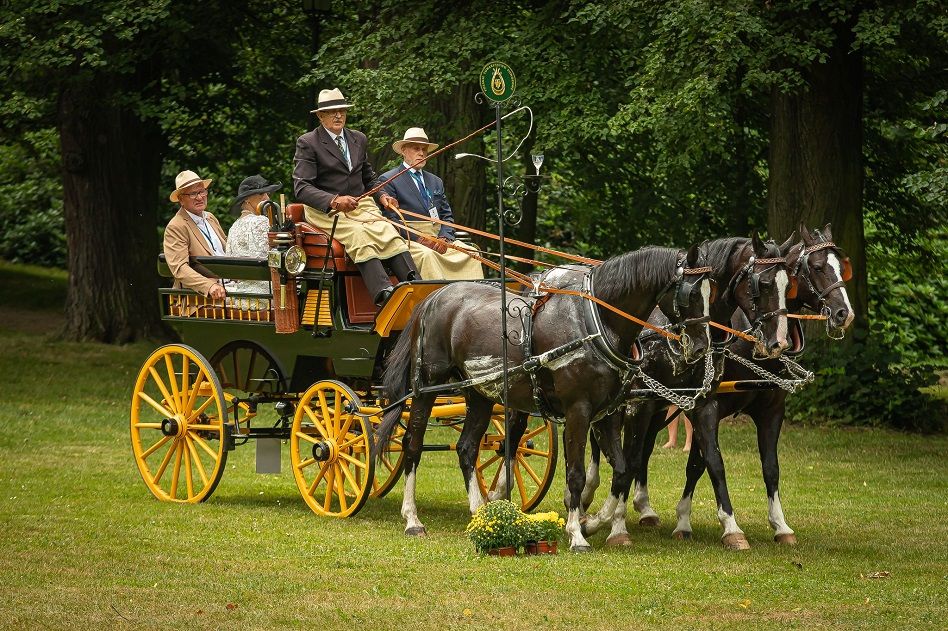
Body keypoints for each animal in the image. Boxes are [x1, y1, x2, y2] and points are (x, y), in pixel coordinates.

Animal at [374, 244, 716, 552]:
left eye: (712, 292)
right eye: (691, 294)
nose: (701, 347)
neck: (596, 323)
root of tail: (432, 298)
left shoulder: (605, 413)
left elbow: (621, 471)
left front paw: (592, 523)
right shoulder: (579, 411)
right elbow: (576, 474)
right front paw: (577, 534)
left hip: (481, 393)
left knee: (466, 447)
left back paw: (480, 511)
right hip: (425, 387)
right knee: (413, 445)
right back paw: (412, 519)